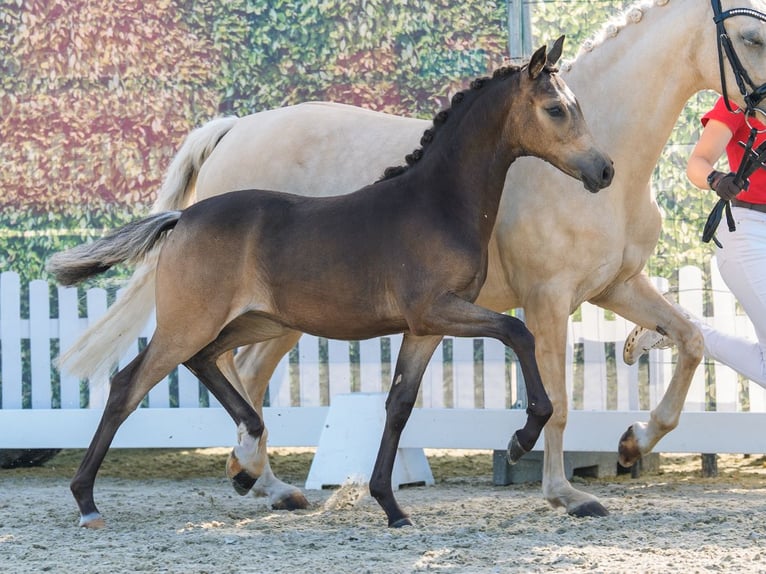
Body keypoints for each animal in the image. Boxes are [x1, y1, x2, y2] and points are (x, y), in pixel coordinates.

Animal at [57, 0, 766, 518]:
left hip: (273, 317)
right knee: (184, 376)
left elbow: (691, 339)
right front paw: (564, 491)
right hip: (243, 316)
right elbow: (558, 396)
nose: (601, 170)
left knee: (238, 374)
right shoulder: (545, 299)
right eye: (752, 36)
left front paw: (631, 441)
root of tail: (229, 130)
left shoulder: (613, 285)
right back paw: (212, 479)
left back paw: (259, 478)